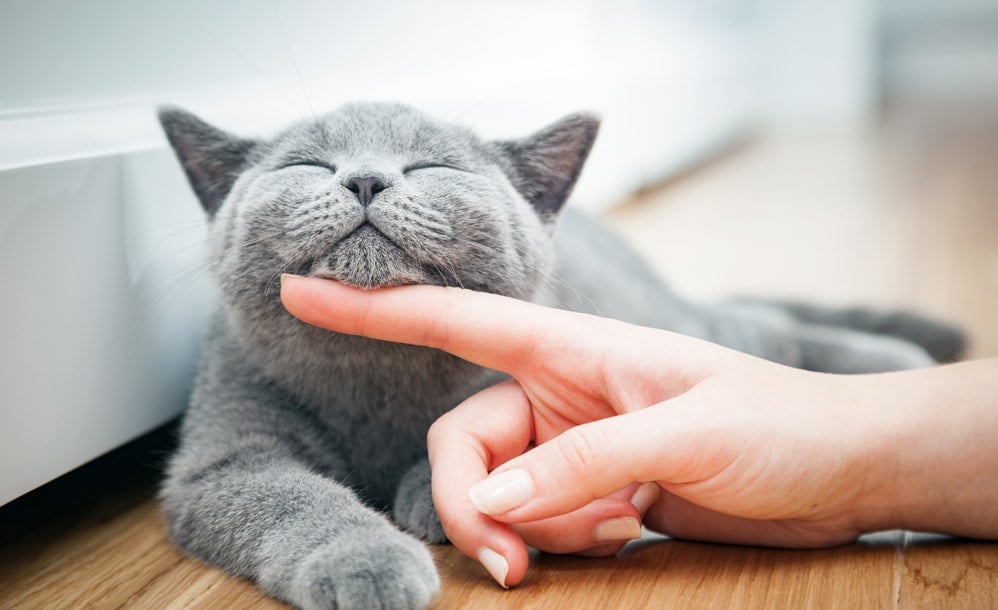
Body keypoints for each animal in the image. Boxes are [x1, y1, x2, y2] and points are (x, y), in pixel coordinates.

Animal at [160, 102, 964, 604]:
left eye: (430, 167)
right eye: (306, 163)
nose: (365, 177)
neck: (374, 374)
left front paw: (429, 494)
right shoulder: (224, 458)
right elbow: (293, 499)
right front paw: (368, 561)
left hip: (662, 318)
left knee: (753, 324)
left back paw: (899, 364)